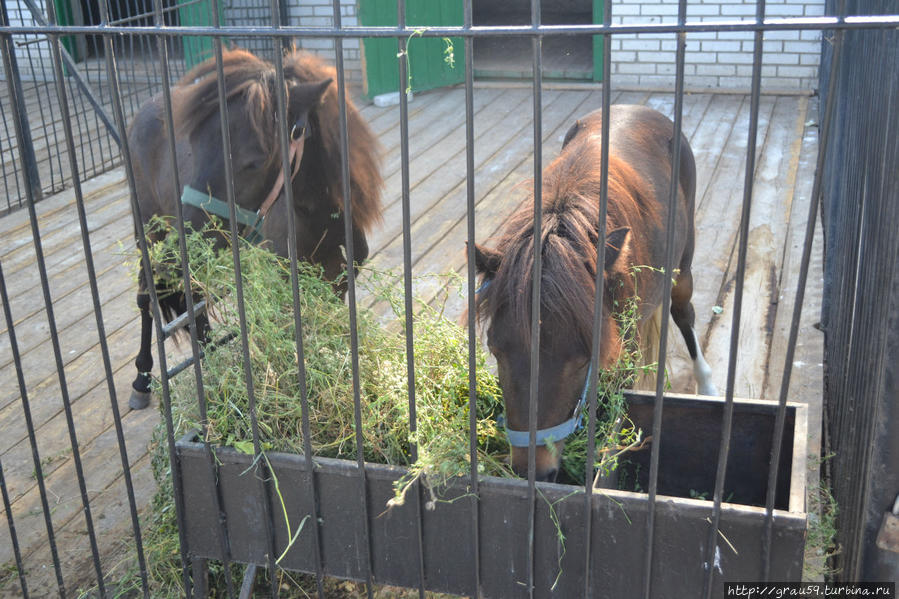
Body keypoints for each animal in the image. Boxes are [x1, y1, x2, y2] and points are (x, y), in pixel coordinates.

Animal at [125, 49, 380, 410]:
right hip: (150, 234)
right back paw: (143, 380)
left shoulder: (336, 287)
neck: (319, 230)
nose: (180, 253)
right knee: (147, 297)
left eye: (255, 161)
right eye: (193, 147)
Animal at [472, 106, 716, 482]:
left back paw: (707, 384)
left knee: (683, 313)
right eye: (496, 349)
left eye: (583, 358)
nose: (535, 471)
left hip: (682, 270)